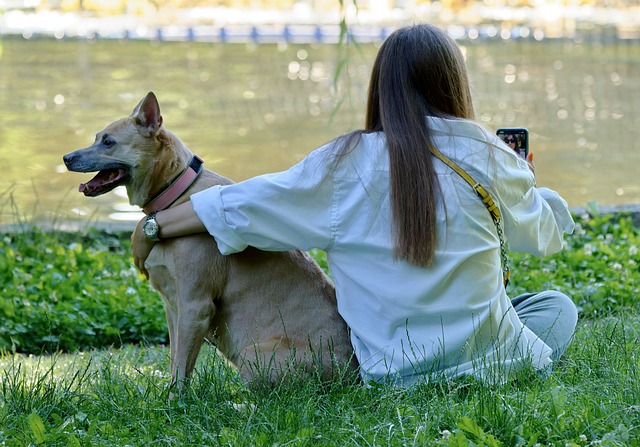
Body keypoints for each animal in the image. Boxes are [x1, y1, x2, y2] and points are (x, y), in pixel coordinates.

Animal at [62, 92, 358, 392]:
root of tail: (354, 374)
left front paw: (175, 400)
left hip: (255, 356)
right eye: (96, 137)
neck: (175, 194)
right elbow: (175, 359)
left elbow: (182, 366)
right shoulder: (173, 306)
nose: (66, 157)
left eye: (108, 142)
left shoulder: (195, 304)